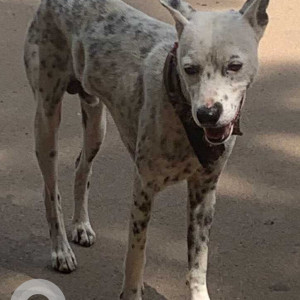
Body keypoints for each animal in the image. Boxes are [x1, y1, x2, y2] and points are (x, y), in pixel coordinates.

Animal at [24, 0, 270, 298]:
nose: (208, 114)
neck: (180, 111)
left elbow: (198, 262)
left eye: (234, 66)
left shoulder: (204, 194)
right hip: (47, 121)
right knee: (51, 191)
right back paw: (60, 249)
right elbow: (136, 255)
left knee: (81, 166)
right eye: (189, 68)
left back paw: (81, 225)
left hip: (96, 125)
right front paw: (132, 290)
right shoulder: (143, 190)